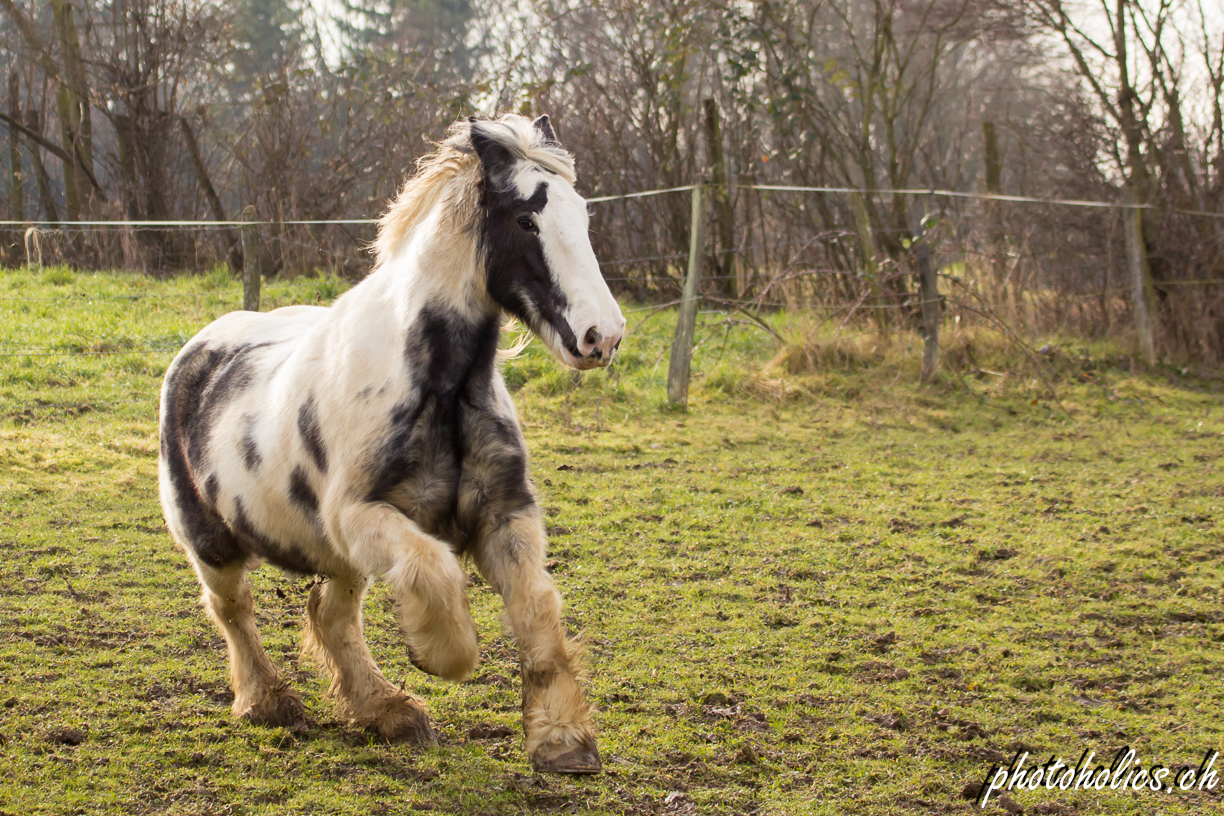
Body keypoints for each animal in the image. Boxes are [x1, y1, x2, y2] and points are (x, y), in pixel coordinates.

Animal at [157, 113, 626, 773]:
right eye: (525, 220)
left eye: (581, 214)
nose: (602, 336)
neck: (442, 385)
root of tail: (199, 347)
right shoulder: (361, 515)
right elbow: (434, 571)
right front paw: (441, 654)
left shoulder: (506, 514)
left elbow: (536, 607)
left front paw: (563, 740)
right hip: (213, 544)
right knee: (233, 611)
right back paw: (267, 702)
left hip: (337, 556)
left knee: (331, 616)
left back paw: (386, 710)